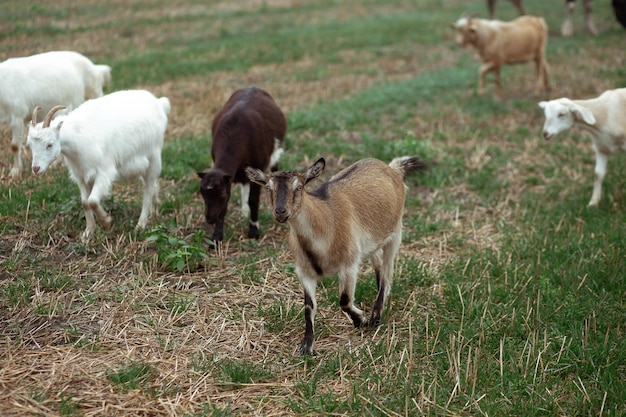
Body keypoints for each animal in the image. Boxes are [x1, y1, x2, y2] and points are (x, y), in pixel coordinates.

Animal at [26, 90, 169, 240]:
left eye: (50, 144)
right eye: (30, 145)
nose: (36, 169)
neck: (78, 137)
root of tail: (159, 103)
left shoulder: (105, 172)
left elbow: (92, 200)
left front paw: (107, 222)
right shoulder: (81, 176)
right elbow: (85, 202)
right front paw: (88, 232)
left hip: (154, 157)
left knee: (148, 189)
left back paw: (140, 225)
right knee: (152, 186)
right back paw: (155, 209)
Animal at [246, 156, 426, 354]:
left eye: (299, 187)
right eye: (268, 187)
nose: (280, 212)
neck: (326, 223)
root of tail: (392, 169)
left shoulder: (349, 265)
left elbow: (345, 300)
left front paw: (361, 320)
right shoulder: (305, 271)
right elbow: (308, 307)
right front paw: (307, 346)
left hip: (395, 232)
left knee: (387, 272)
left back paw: (376, 315)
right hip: (372, 242)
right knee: (378, 261)